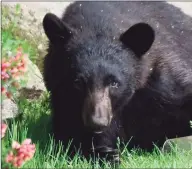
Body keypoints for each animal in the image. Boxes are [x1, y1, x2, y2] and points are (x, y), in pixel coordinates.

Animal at [42, 0, 192, 164]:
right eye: (78, 82)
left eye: (114, 83)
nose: (97, 122)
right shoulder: (62, 97)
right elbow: (70, 135)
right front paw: (107, 154)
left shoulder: (162, 81)